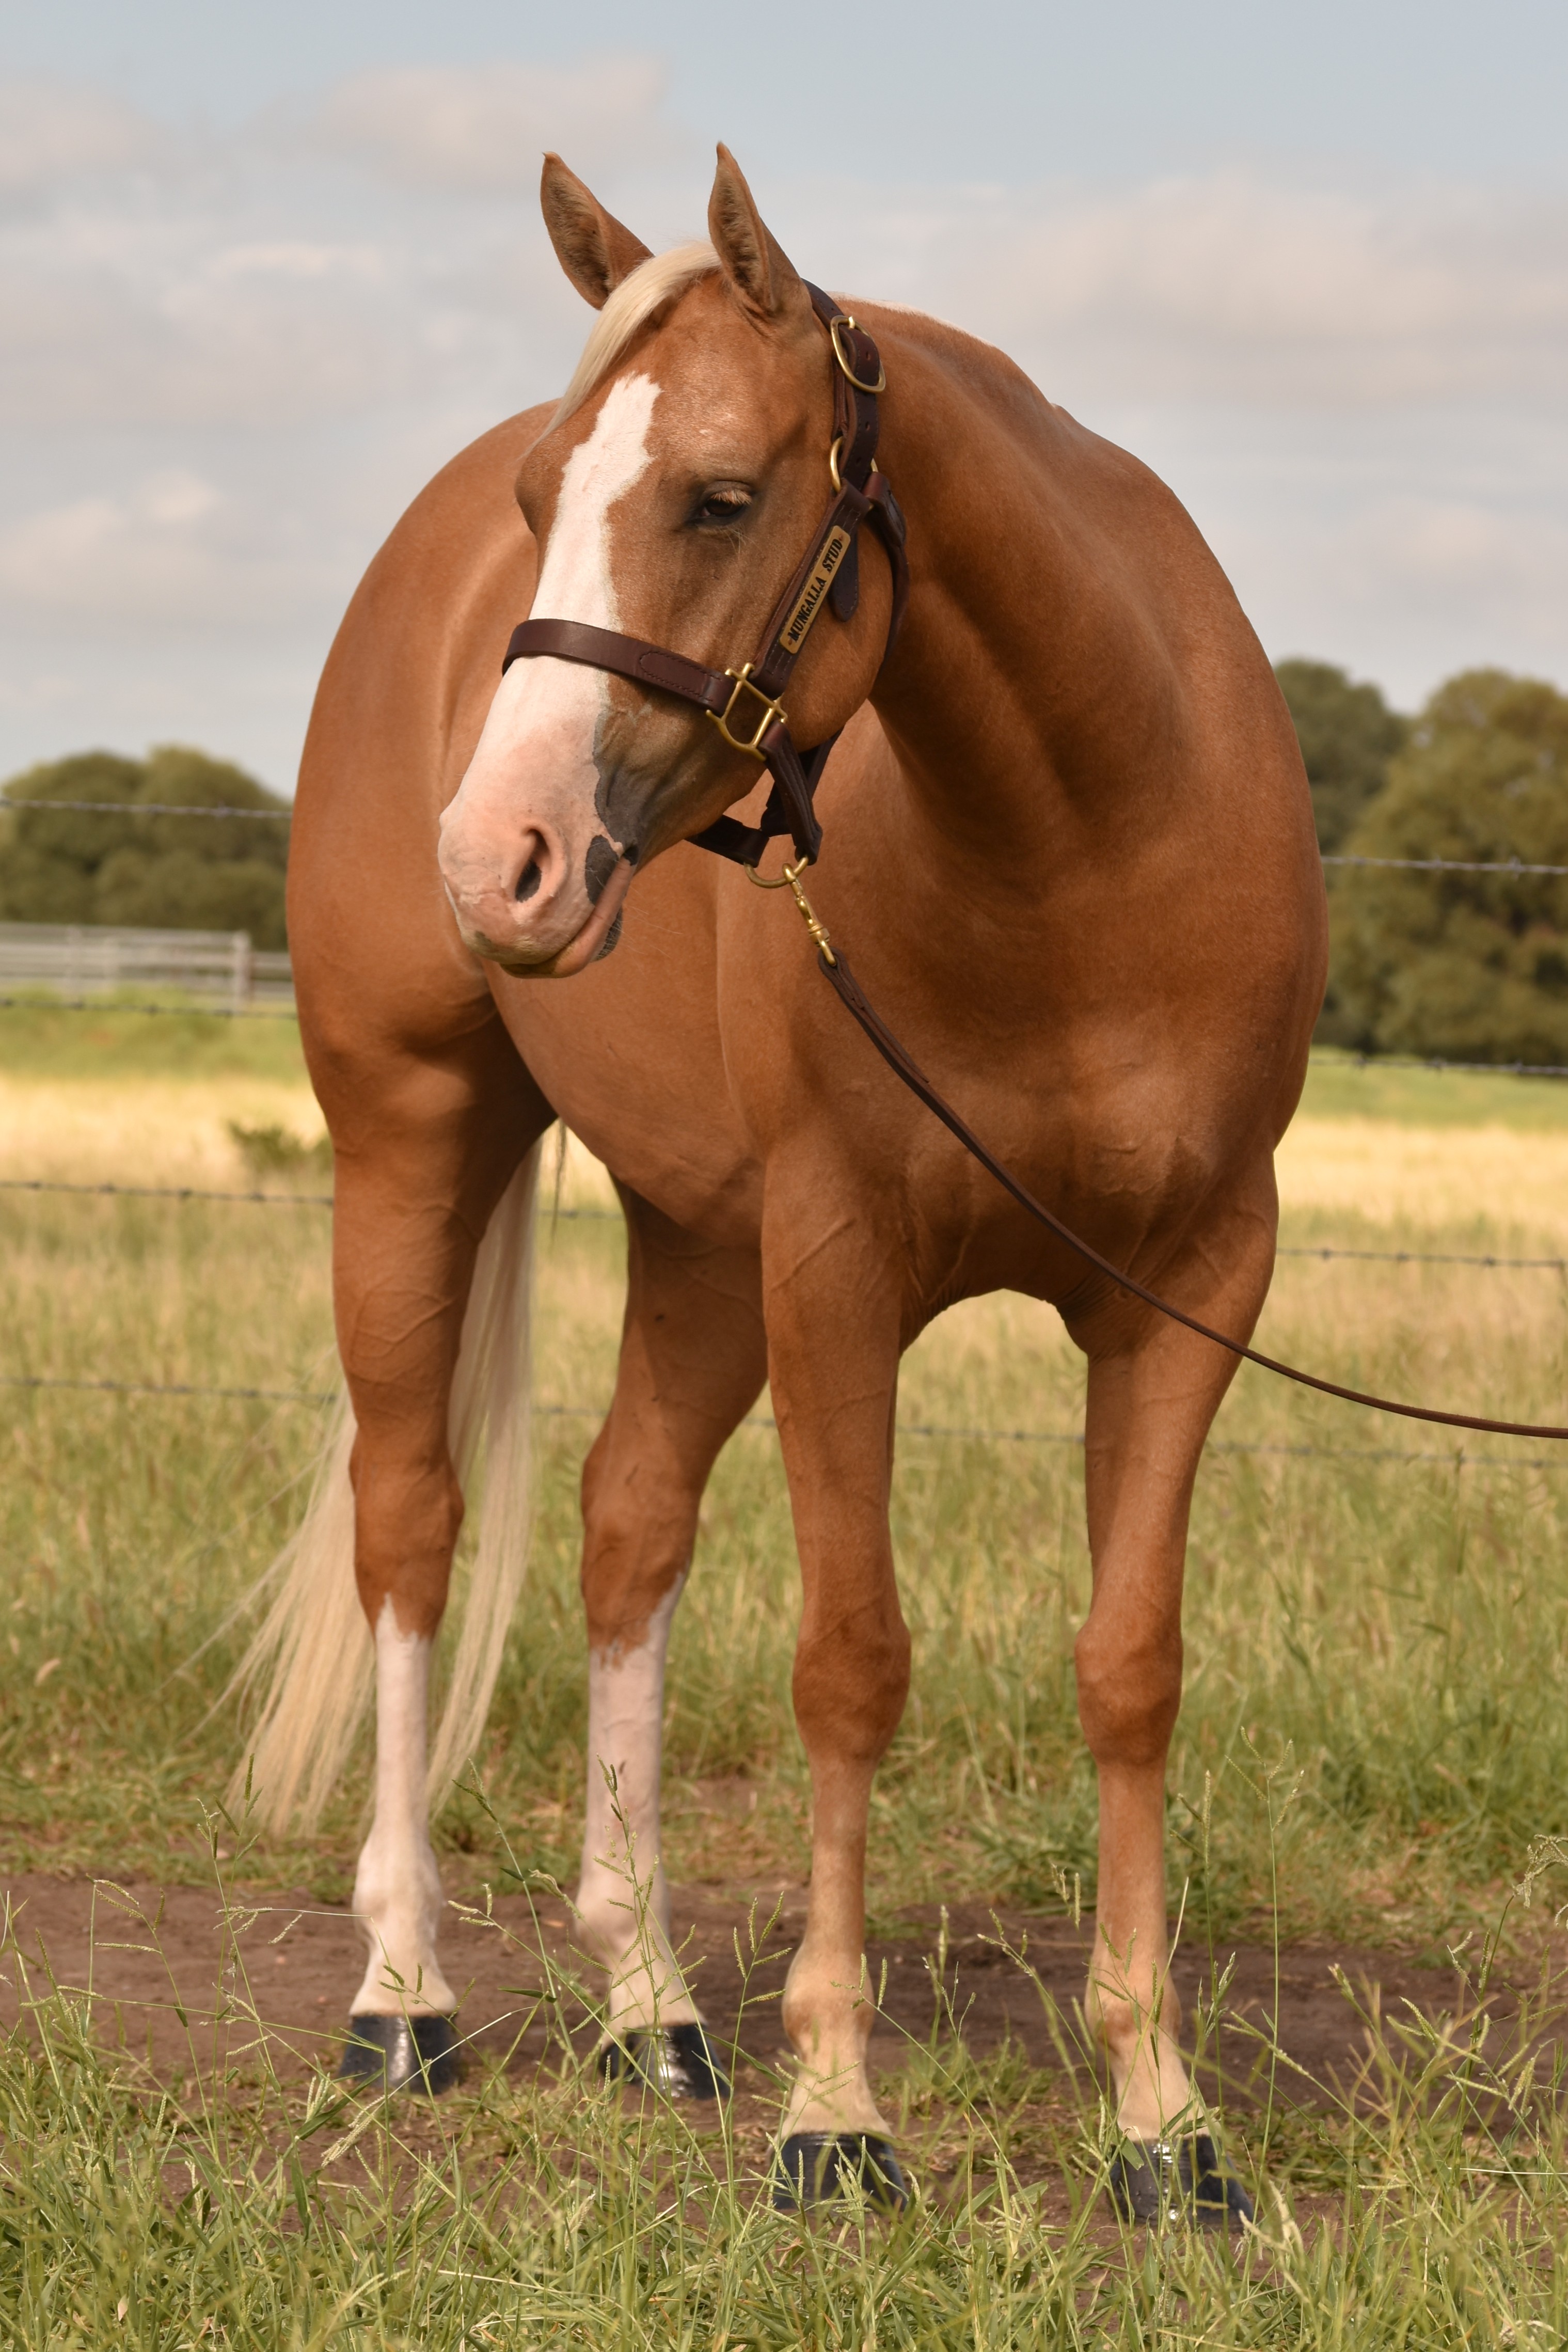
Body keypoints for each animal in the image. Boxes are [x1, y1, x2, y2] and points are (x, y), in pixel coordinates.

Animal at [235, 143, 1325, 2220]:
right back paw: (404, 1994)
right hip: (415, 1137)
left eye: (720, 497)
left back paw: (649, 2002)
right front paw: (838, 2109)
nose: (497, 859)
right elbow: (851, 1659)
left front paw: (1161, 2116)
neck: (1080, 854)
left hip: (696, 1237)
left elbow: (1130, 1667)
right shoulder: (838, 1269)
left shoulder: (1192, 1288)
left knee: (625, 1523)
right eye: (541, 502)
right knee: (410, 1525)